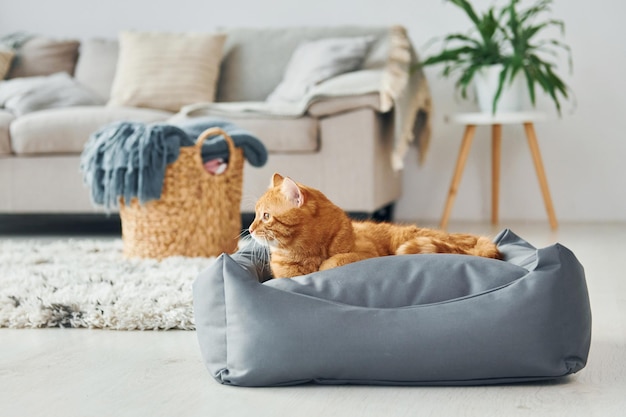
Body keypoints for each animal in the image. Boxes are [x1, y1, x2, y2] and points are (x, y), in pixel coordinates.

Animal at [247, 174, 498, 278]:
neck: (308, 253)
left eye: (266, 216)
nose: (249, 229)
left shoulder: (366, 253)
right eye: (256, 214)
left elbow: (335, 262)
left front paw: (324, 267)